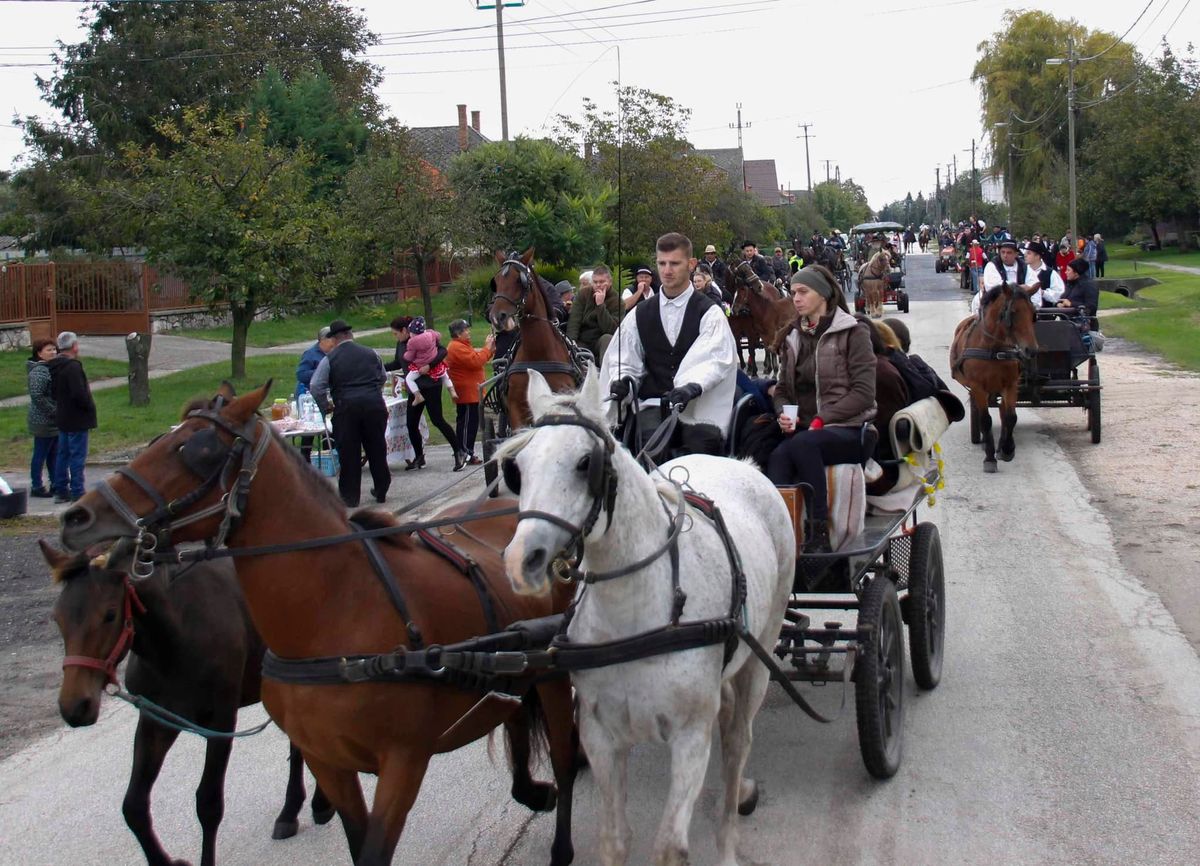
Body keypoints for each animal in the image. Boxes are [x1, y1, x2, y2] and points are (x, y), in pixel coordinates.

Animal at [42, 539, 333, 863]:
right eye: (58, 618)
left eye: (109, 614)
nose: (75, 707)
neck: (176, 638)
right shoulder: (156, 720)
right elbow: (134, 806)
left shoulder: (221, 720)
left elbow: (208, 804)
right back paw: (294, 811)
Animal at [499, 367, 796, 863]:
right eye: (519, 468)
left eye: (584, 463)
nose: (522, 560)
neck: (634, 615)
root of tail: (744, 465)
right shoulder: (601, 737)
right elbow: (614, 839)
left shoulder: (690, 738)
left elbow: (670, 846)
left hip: (762, 651)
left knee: (738, 741)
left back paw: (730, 828)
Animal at [945, 281, 1041, 472]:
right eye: (1013, 313)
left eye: (1034, 313)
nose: (1031, 350)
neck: (992, 348)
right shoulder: (977, 387)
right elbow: (985, 420)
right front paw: (989, 458)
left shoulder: (1011, 385)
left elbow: (1010, 417)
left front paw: (1007, 450)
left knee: (1004, 412)